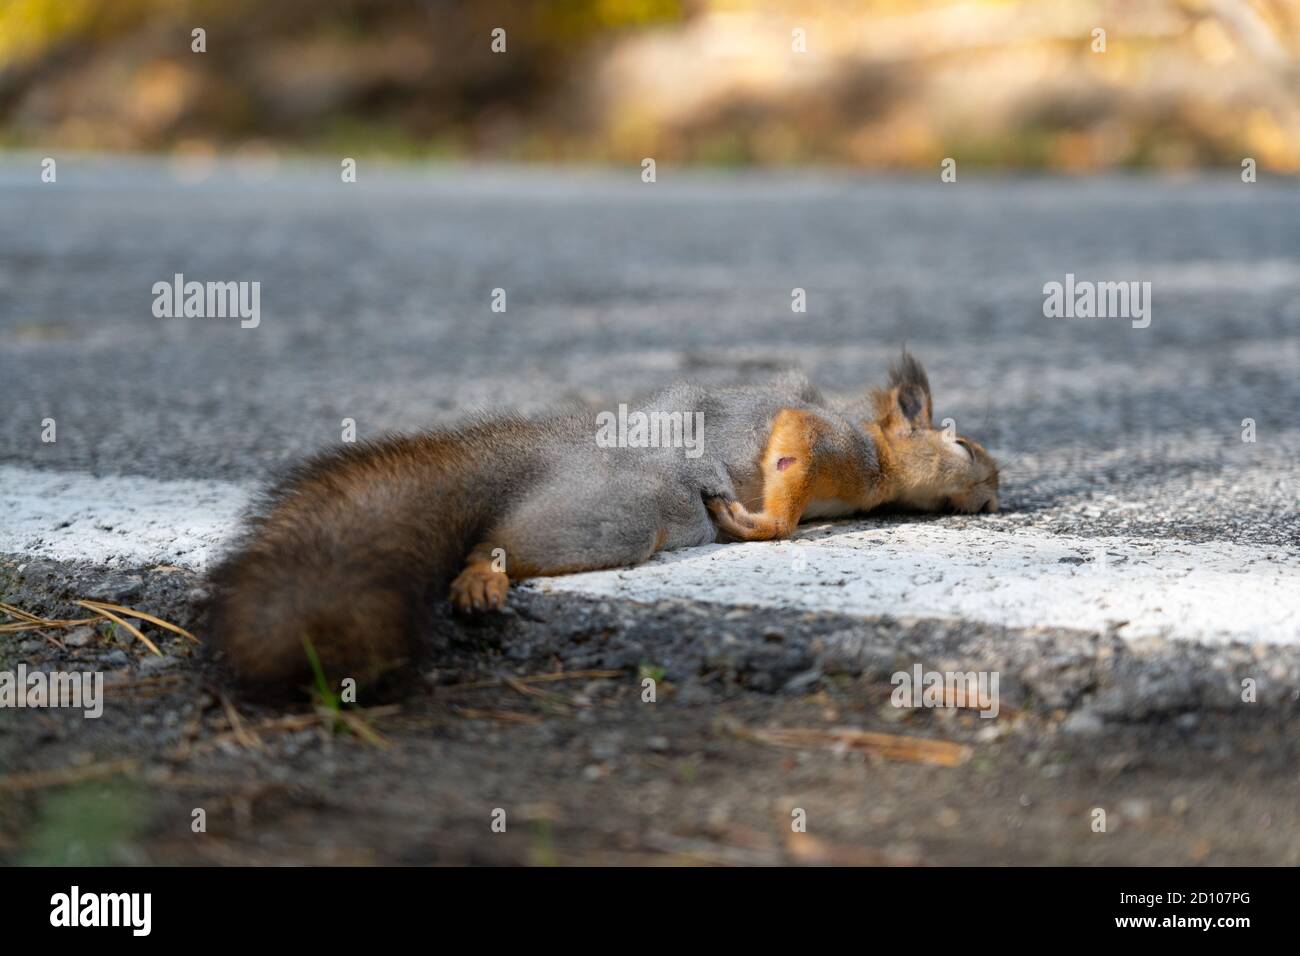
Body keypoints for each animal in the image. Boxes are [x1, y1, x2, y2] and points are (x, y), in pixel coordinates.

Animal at [209, 351, 998, 692]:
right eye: (962, 445)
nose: (995, 495)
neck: (880, 457)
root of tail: (555, 456)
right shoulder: (833, 443)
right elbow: (788, 472)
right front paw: (758, 522)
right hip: (620, 513)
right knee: (494, 543)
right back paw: (481, 579)